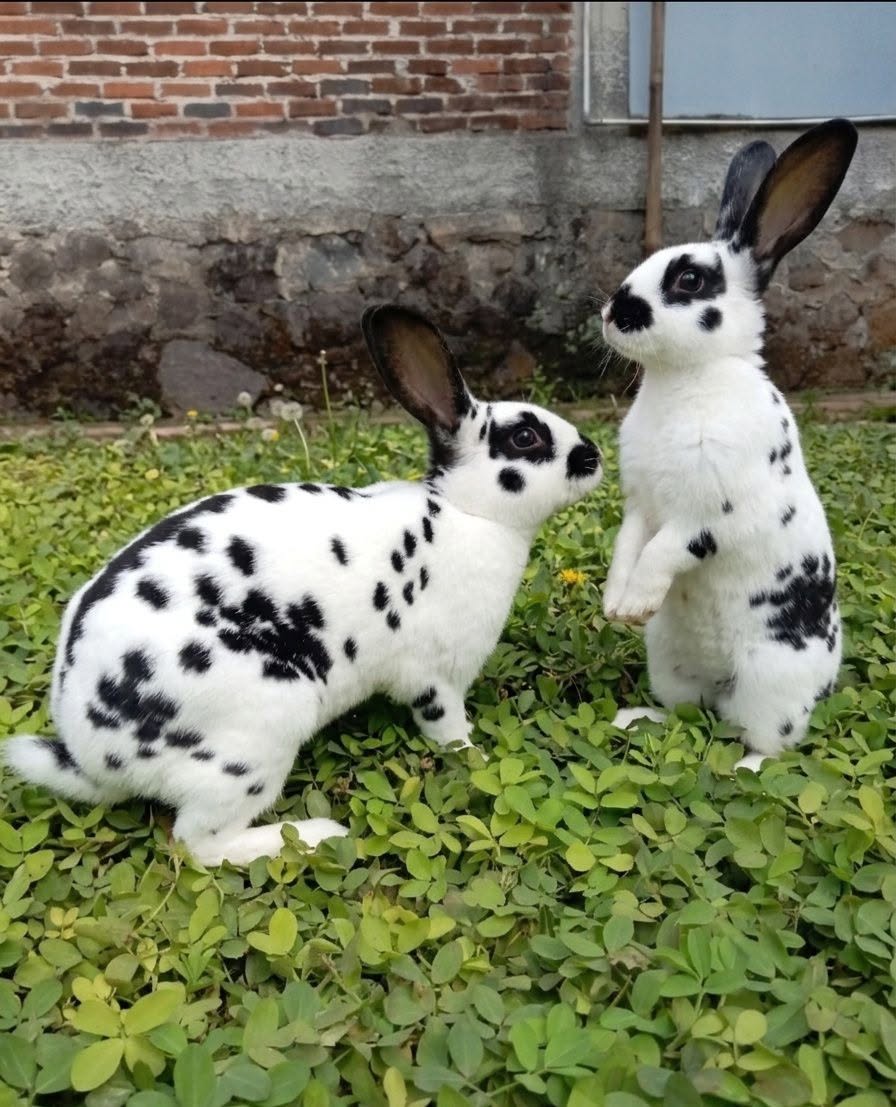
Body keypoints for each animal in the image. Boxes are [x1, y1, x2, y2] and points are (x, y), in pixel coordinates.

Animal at [3, 305, 603, 865]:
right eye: (525, 437)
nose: (593, 456)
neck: (465, 512)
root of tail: (91, 755)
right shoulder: (436, 679)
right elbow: (449, 730)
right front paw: (479, 757)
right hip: (259, 730)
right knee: (198, 844)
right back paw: (318, 835)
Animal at [599, 118, 858, 771]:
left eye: (689, 279)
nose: (614, 312)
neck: (687, 378)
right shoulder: (641, 506)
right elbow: (628, 546)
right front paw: (615, 605)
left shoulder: (711, 515)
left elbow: (663, 552)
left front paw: (634, 603)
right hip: (669, 663)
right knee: (685, 713)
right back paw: (633, 720)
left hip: (772, 685)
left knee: (768, 743)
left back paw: (746, 767)